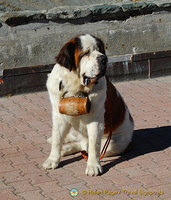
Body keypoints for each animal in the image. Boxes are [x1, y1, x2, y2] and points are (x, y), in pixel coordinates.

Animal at [42, 33, 134, 176]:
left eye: (100, 50)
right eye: (86, 53)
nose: (104, 58)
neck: (75, 88)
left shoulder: (95, 120)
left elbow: (93, 145)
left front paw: (93, 166)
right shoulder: (59, 115)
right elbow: (57, 139)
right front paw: (52, 160)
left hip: (116, 143)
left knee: (85, 145)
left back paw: (66, 149)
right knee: (75, 139)